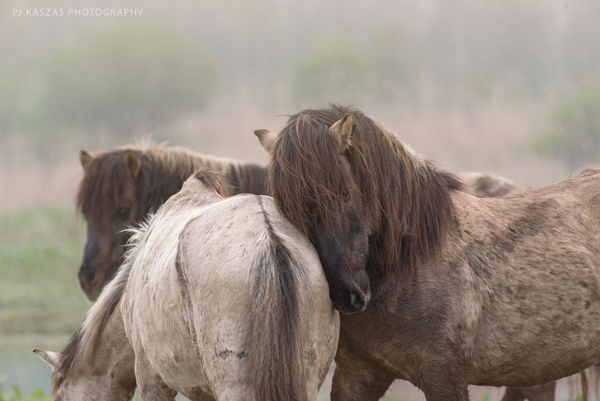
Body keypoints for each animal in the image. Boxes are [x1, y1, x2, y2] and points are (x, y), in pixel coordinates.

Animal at [255, 105, 600, 400]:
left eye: (343, 194)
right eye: (289, 210)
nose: (347, 296)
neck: (410, 261)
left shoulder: (443, 376)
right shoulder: (359, 374)